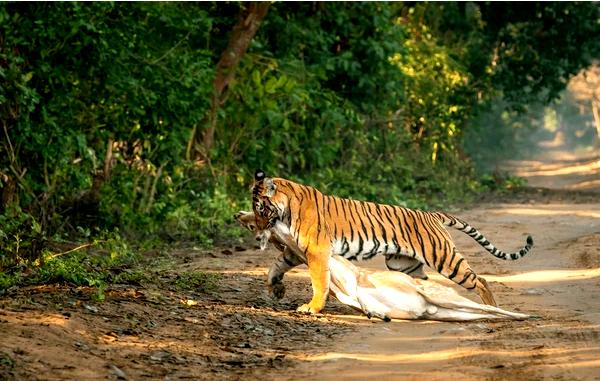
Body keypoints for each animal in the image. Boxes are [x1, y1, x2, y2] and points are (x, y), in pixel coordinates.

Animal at [251, 169, 532, 312]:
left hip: (445, 258)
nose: (257, 232)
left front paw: (311, 308)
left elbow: (319, 282)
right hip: (403, 263)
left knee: (480, 280)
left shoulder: (317, 251)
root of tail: (432, 214)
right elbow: (275, 266)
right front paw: (275, 289)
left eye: (260, 209)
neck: (286, 208)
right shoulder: (296, 250)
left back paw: (493, 307)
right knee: (424, 284)